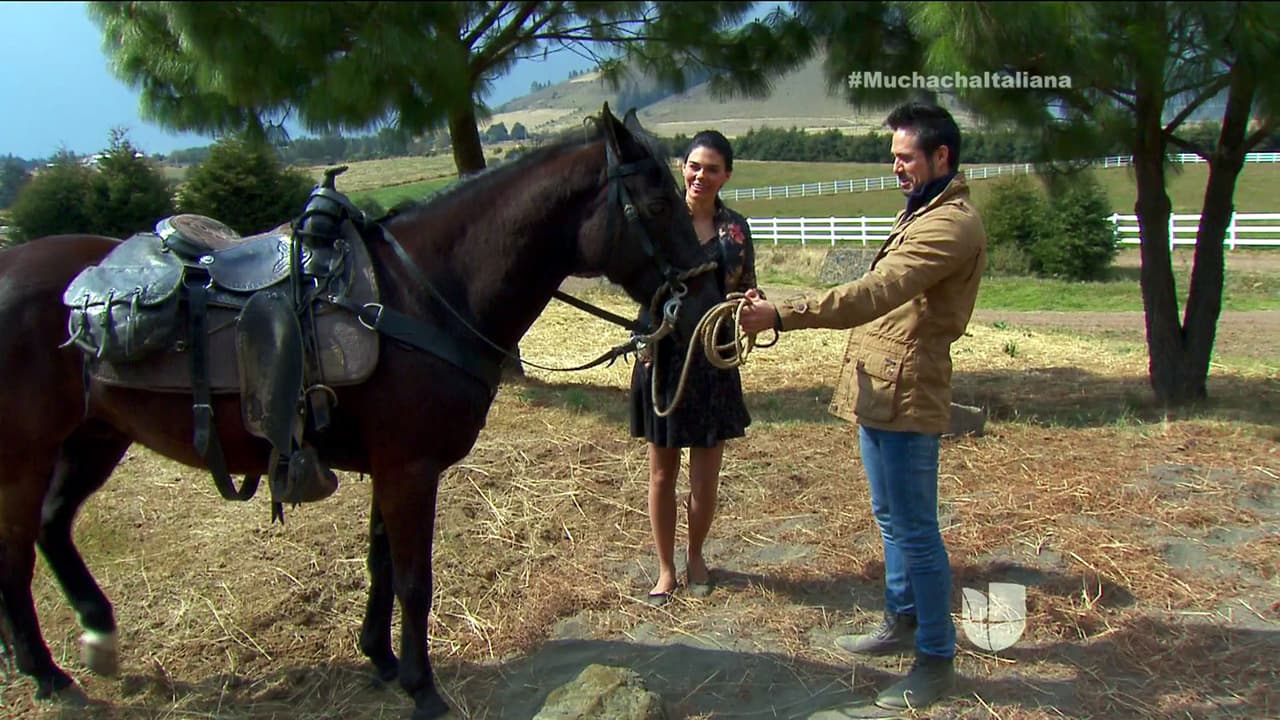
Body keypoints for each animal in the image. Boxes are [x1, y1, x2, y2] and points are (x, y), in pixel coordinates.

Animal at [0, 104, 723, 719]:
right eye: (657, 202)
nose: (707, 293)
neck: (420, 293)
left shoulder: (392, 467)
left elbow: (381, 568)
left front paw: (381, 658)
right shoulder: (410, 469)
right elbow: (413, 579)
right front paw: (422, 687)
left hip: (94, 438)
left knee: (52, 529)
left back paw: (95, 637)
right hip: (28, 454)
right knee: (16, 552)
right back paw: (46, 673)